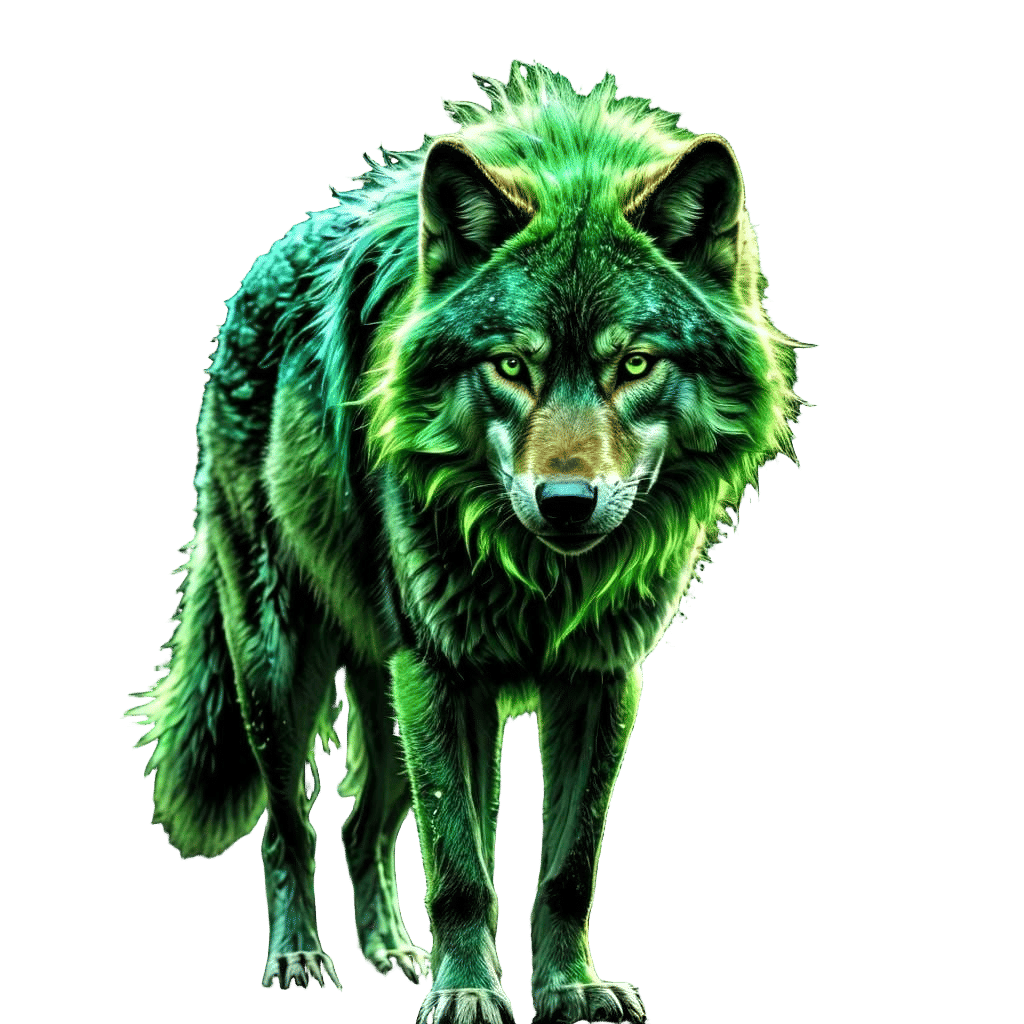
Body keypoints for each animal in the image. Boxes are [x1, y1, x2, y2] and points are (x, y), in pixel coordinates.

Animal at [124, 60, 803, 1024]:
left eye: (634, 364)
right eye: (511, 365)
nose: (566, 502)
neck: (543, 577)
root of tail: (259, 269)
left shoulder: (599, 678)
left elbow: (567, 867)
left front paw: (570, 988)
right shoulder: (441, 672)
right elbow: (460, 867)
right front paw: (471, 993)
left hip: (388, 692)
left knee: (360, 826)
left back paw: (389, 950)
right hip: (281, 670)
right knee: (291, 825)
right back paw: (300, 956)